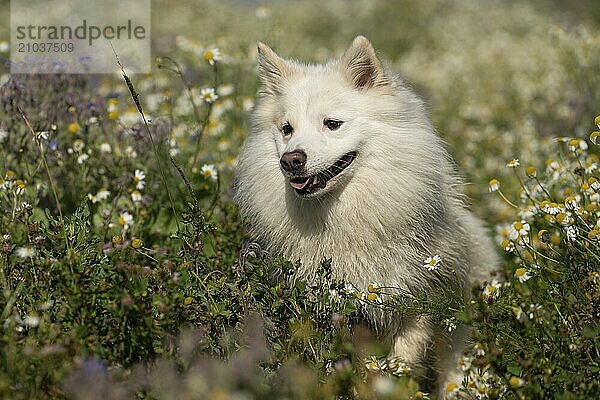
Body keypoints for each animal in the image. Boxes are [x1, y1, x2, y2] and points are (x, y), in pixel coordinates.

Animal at [233, 35, 496, 396]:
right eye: (287, 129)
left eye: (332, 124)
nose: (291, 160)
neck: (343, 219)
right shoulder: (343, 317)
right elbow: (358, 369)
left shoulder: (414, 301)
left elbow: (404, 358)